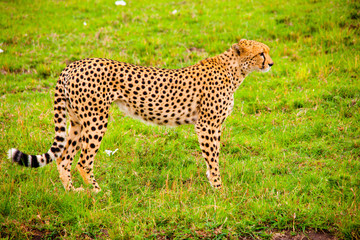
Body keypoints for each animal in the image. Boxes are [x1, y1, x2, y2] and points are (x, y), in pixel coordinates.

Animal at [7, 39, 272, 193]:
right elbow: (214, 158)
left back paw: (73, 192)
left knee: (64, 158)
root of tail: (73, 64)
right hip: (96, 120)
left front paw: (214, 184)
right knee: (83, 161)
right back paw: (98, 192)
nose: (270, 64)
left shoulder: (210, 126)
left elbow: (211, 159)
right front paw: (219, 189)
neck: (235, 69)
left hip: (76, 121)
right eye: (261, 53)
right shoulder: (207, 126)